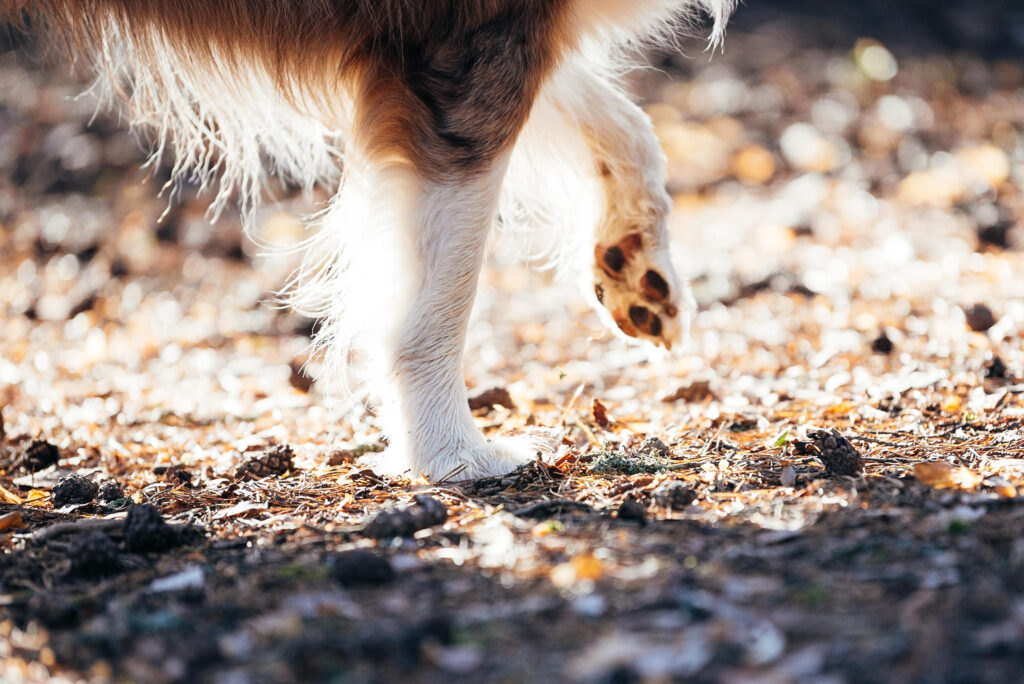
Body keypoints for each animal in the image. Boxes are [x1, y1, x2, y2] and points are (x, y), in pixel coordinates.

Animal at [2, 1, 737, 481]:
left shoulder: (440, 53)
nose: (641, 279)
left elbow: (624, 121)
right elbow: (439, 301)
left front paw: (637, 269)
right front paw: (452, 456)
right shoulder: (467, 47)